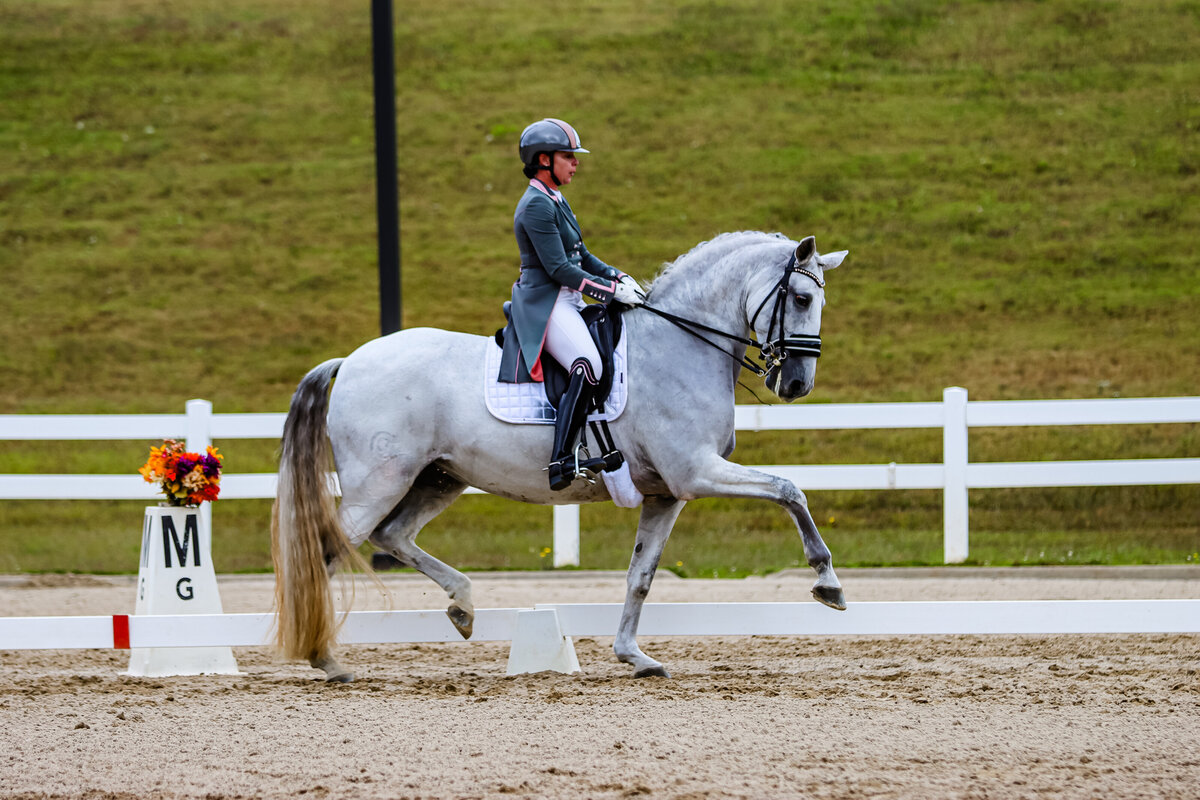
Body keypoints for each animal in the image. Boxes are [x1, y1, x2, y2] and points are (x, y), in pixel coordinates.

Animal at [272, 231, 848, 680]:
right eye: (801, 298)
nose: (796, 384)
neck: (678, 344)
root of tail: (350, 361)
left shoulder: (667, 494)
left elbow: (641, 576)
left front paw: (634, 656)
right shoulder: (696, 473)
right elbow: (789, 490)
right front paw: (827, 582)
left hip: (437, 478)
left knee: (393, 535)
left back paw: (462, 607)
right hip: (379, 483)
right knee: (328, 551)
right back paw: (327, 659)